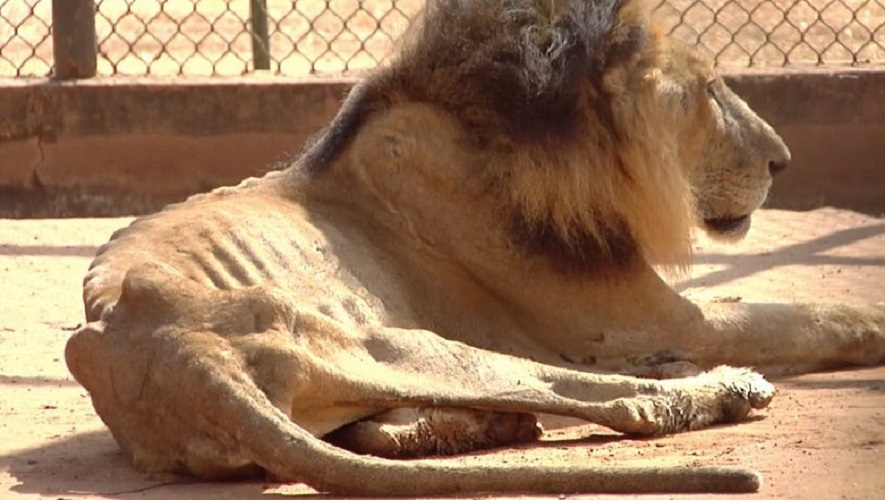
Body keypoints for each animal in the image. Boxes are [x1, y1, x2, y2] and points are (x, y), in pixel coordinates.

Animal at [64, 0, 884, 494]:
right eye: (712, 89)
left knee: (392, 426)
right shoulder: (647, 320)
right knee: (605, 398)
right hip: (402, 341)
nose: (782, 160)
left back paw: (490, 426)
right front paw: (867, 324)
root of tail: (175, 356)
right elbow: (798, 314)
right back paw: (724, 386)